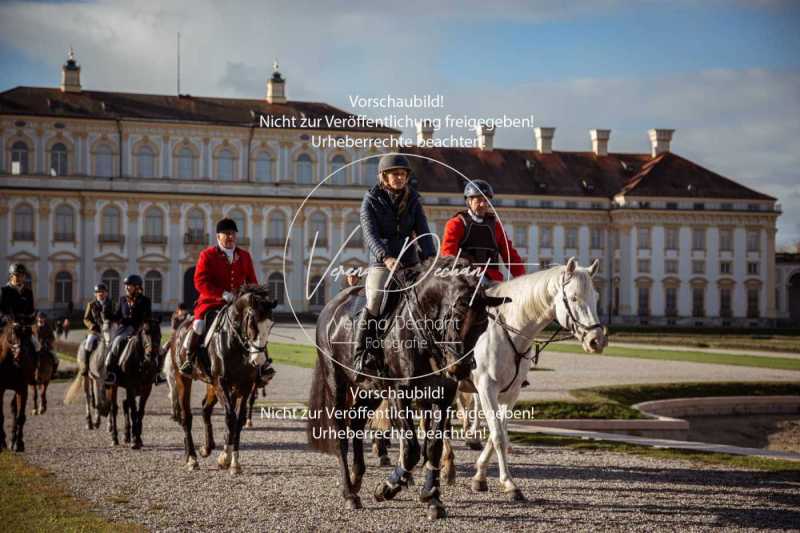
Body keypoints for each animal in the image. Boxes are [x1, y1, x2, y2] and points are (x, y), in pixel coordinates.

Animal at [0, 320, 37, 454]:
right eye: (13, 333)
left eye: (28, 335)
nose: (20, 355)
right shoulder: (0, 389)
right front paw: (2, 443)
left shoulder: (22, 388)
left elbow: (20, 416)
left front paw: (19, 443)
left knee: (14, 409)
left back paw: (13, 440)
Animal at [169, 286, 278, 474]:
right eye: (252, 322)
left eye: (271, 325)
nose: (259, 360)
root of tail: (179, 330)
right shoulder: (221, 383)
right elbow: (230, 417)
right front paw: (228, 459)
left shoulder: (245, 386)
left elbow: (238, 420)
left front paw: (232, 461)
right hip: (183, 378)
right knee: (186, 416)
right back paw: (191, 458)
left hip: (212, 386)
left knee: (205, 409)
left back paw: (206, 448)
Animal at [308, 256, 506, 516]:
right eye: (456, 319)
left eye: (483, 326)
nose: (459, 369)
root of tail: (331, 307)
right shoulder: (400, 393)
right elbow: (411, 448)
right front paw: (387, 488)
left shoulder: (442, 396)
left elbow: (433, 446)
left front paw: (432, 497)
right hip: (337, 383)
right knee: (341, 432)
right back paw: (349, 493)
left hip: (370, 390)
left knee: (357, 422)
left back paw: (357, 477)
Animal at [466, 256, 604, 498]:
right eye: (574, 297)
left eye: (596, 297)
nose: (597, 340)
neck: (509, 332)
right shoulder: (486, 388)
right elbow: (498, 436)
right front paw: (509, 483)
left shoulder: (511, 393)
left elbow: (499, 433)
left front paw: (481, 475)